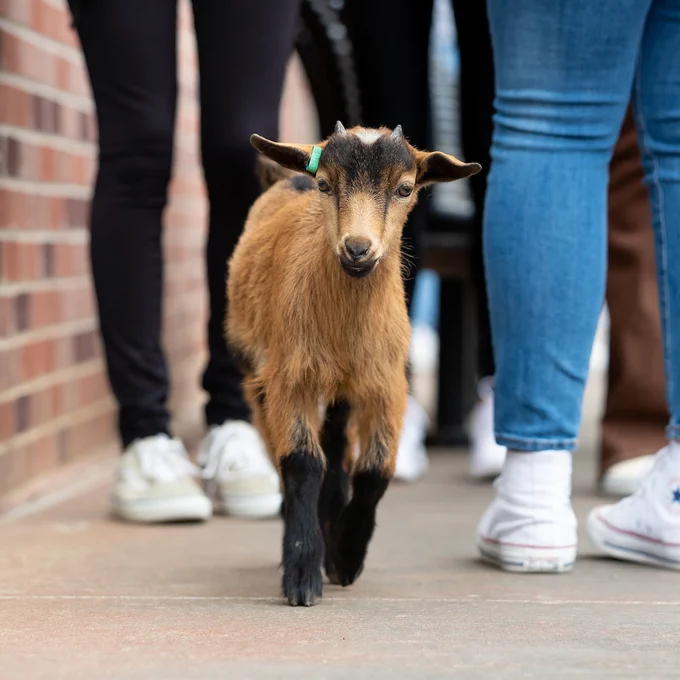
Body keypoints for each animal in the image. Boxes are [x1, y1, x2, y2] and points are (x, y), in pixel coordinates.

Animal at [226, 122, 480, 606]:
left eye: (404, 188)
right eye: (326, 185)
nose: (358, 249)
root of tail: (288, 178)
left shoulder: (387, 383)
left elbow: (375, 471)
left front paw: (346, 556)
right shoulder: (290, 377)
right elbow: (302, 463)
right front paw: (302, 573)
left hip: (343, 390)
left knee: (339, 446)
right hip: (256, 371)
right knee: (294, 456)